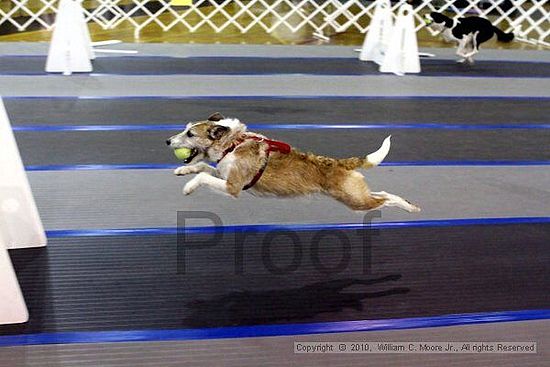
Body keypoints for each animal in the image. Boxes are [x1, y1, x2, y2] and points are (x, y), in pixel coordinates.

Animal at [166, 113, 420, 214]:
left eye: (190, 134)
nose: (167, 140)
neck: (232, 143)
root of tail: (341, 163)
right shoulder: (224, 175)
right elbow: (203, 167)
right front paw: (183, 169)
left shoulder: (233, 187)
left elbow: (203, 176)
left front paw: (188, 187)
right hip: (355, 194)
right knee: (383, 194)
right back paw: (409, 204)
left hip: (356, 201)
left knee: (385, 199)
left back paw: (410, 208)